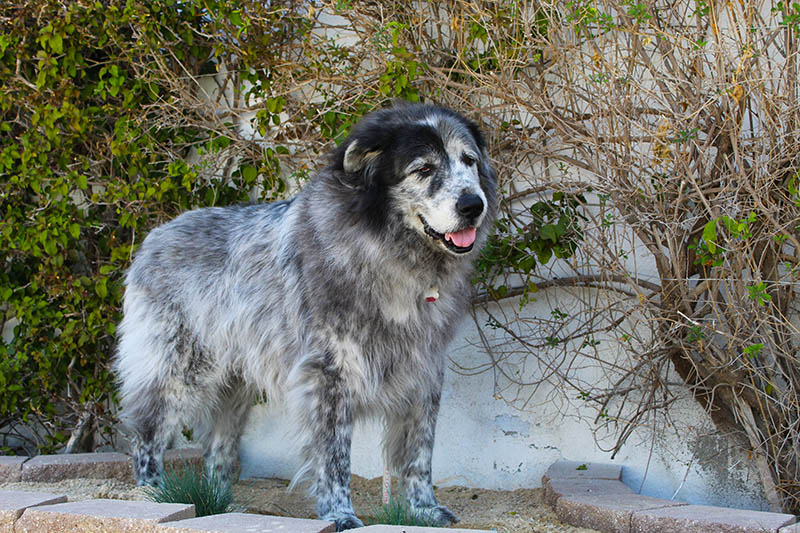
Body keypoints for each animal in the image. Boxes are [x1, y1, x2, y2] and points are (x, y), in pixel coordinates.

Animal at [114, 103, 494, 528]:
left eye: (469, 161)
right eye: (424, 169)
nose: (473, 205)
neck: (386, 250)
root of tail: (154, 237)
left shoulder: (423, 371)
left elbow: (419, 452)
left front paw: (424, 510)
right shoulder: (328, 375)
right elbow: (334, 458)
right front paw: (340, 515)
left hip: (234, 388)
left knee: (219, 449)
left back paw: (219, 502)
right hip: (178, 372)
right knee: (147, 433)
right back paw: (153, 495)